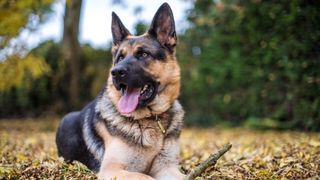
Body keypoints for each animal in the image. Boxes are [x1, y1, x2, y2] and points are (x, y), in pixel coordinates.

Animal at [56, 2, 184, 180]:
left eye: (143, 54)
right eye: (120, 58)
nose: (115, 72)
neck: (150, 118)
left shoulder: (166, 167)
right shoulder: (112, 170)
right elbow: (146, 177)